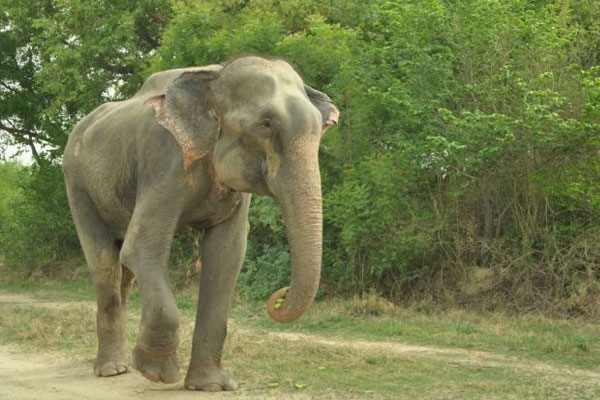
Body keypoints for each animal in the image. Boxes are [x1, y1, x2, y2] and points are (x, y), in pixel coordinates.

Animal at [62, 55, 340, 390]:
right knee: (105, 262)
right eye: (266, 124)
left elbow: (226, 255)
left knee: (121, 271)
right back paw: (112, 369)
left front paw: (212, 386)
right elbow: (140, 247)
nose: (279, 295)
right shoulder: (165, 158)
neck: (214, 77)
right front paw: (156, 372)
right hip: (77, 184)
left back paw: (119, 366)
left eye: (320, 129)